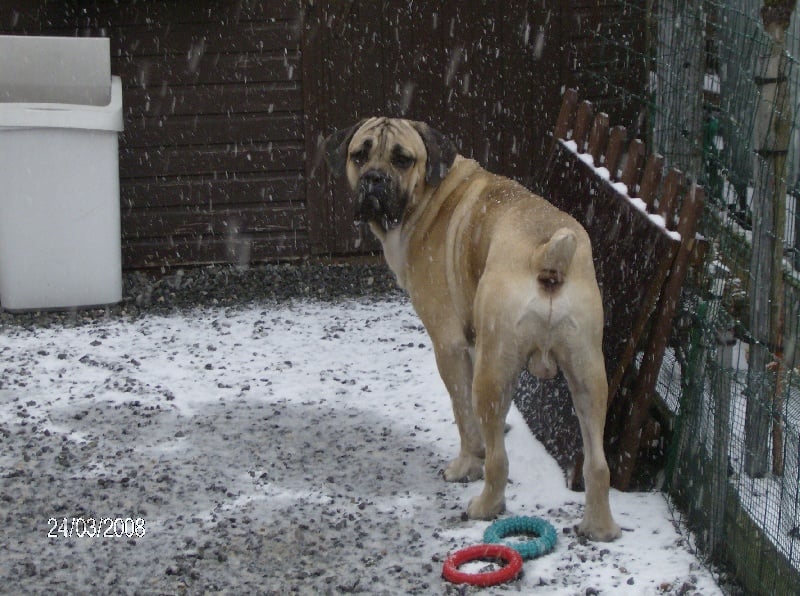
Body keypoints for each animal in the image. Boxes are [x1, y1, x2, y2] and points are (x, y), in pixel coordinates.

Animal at [324, 116, 620, 540]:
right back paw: (600, 526)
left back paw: (485, 504)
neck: (428, 198)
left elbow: (463, 415)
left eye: (402, 159)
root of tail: (547, 252)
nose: (373, 180)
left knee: (499, 458)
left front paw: (466, 464)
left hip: (493, 373)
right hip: (587, 374)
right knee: (597, 462)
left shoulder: (449, 346)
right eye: (359, 154)